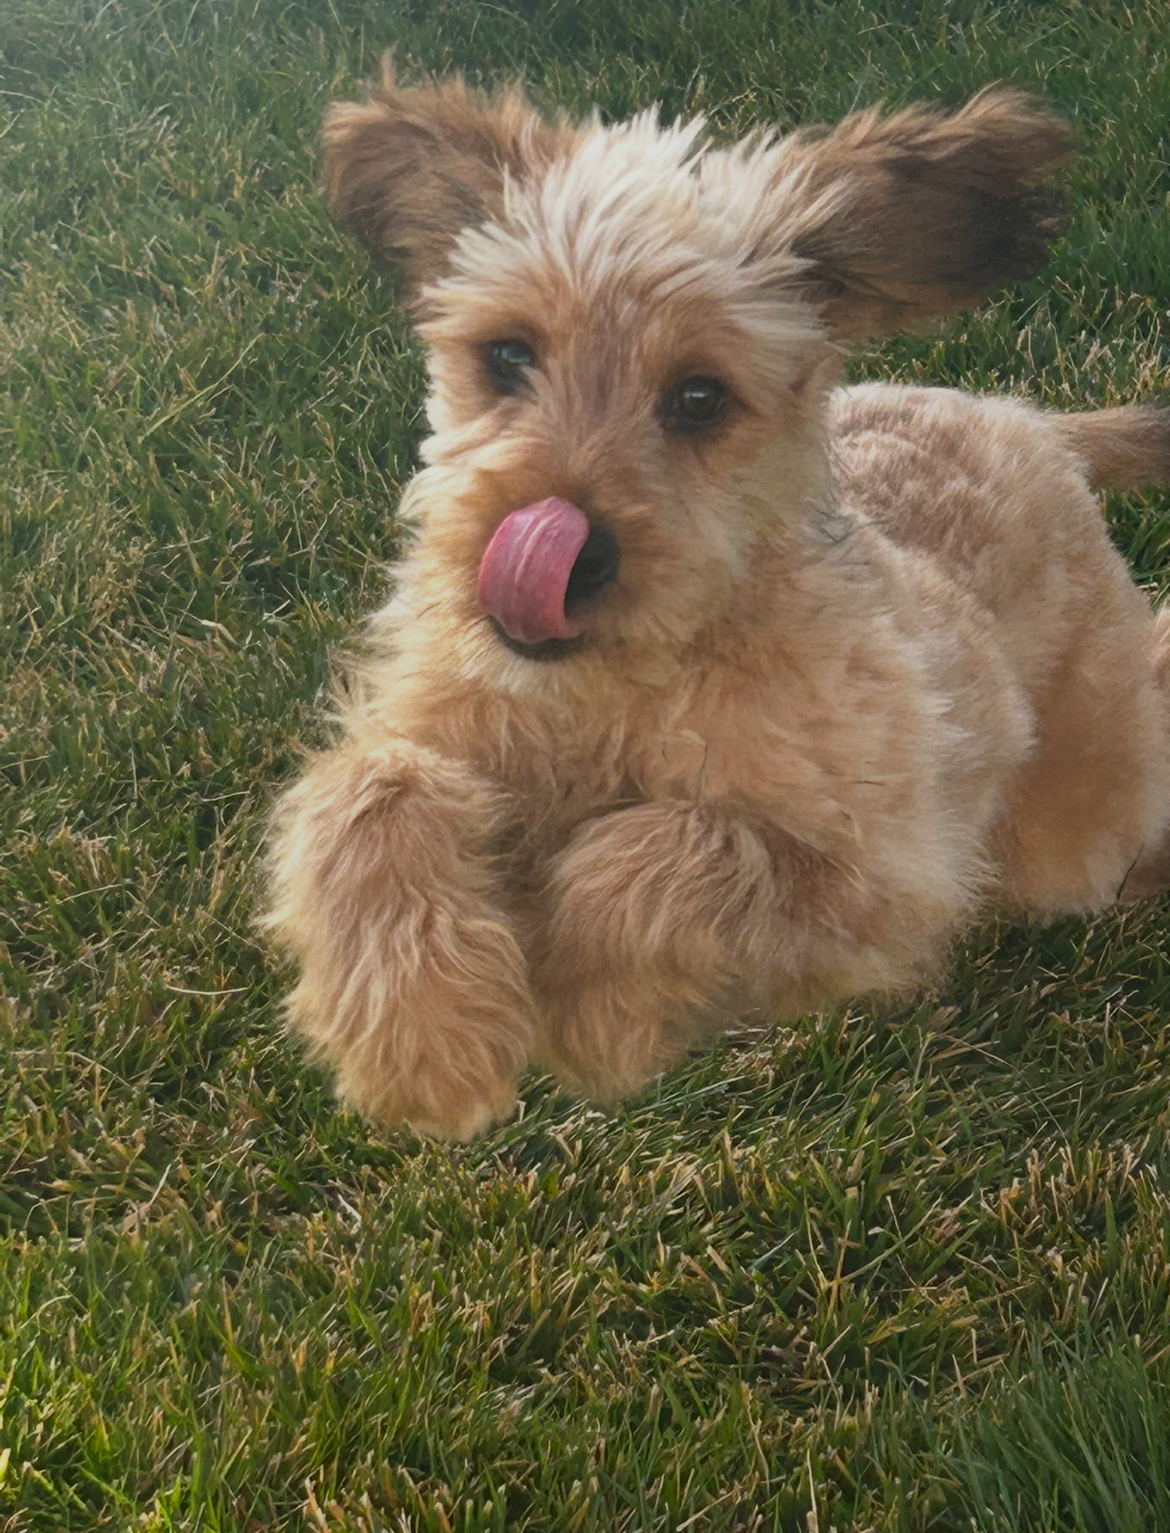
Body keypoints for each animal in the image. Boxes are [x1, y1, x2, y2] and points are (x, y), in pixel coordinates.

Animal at [263, 59, 1170, 1140]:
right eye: (508, 356)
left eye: (698, 397)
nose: (554, 554)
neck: (620, 686)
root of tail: (1025, 420)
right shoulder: (429, 728)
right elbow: (368, 792)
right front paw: (420, 1034)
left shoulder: (882, 879)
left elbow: (678, 851)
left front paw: (593, 1012)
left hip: (1063, 835)